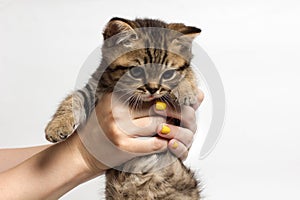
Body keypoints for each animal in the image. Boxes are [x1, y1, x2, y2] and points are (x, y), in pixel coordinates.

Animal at [45, 17, 202, 200]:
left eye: (168, 74)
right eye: (137, 71)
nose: (153, 89)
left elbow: (187, 72)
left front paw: (186, 89)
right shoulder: (93, 89)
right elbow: (73, 99)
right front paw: (56, 126)